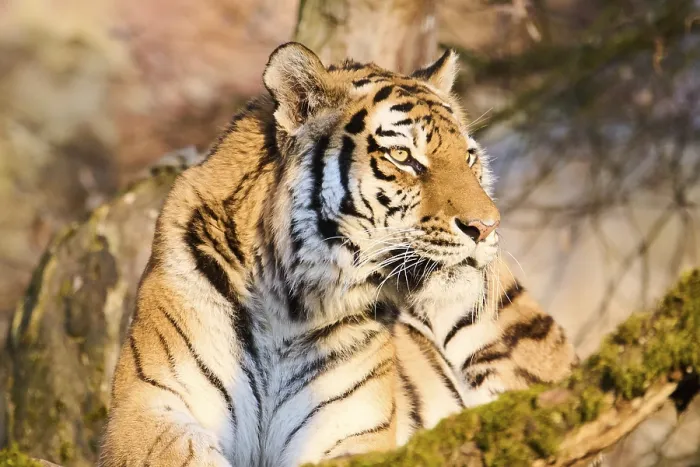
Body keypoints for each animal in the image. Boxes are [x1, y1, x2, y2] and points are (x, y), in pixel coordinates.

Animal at [99, 42, 577, 467]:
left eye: (469, 158)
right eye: (402, 156)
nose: (487, 227)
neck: (288, 304)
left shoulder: (348, 428)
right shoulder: (149, 407)